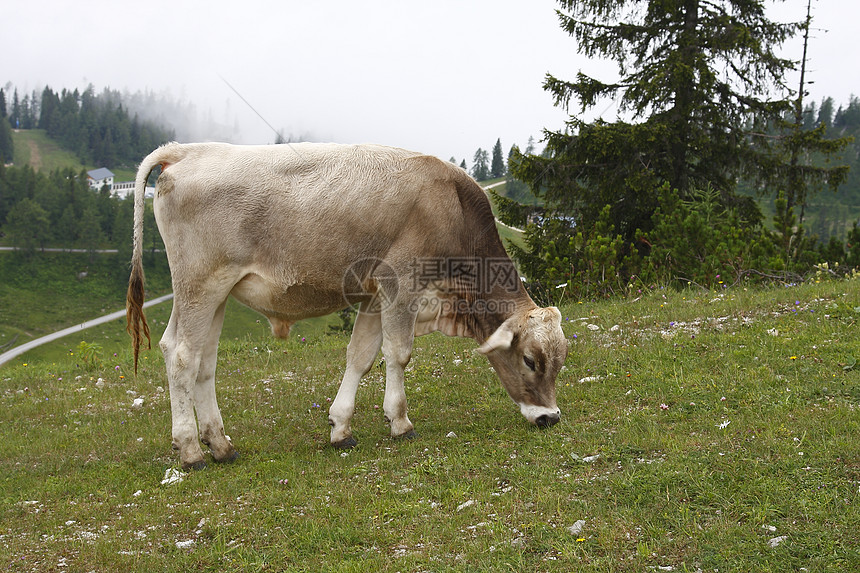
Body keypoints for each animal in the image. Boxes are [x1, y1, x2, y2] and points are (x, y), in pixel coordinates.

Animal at [126, 141, 572, 466]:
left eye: (560, 360)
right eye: (530, 360)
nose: (549, 418)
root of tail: (187, 150)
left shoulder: (374, 296)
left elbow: (360, 356)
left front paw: (341, 427)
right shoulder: (401, 285)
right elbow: (399, 354)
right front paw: (400, 422)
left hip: (214, 292)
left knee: (201, 360)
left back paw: (220, 444)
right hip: (200, 284)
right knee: (182, 356)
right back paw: (190, 450)